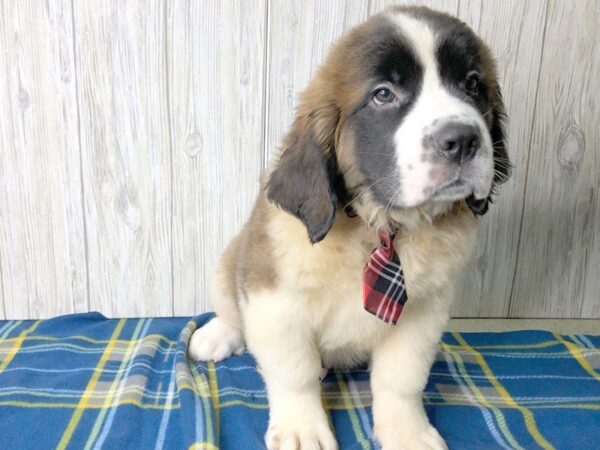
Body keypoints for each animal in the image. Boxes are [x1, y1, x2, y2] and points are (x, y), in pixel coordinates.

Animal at [190, 4, 508, 450]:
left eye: (472, 84)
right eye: (383, 95)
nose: (462, 139)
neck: (378, 231)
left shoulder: (422, 313)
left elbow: (401, 379)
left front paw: (406, 431)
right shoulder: (275, 301)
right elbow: (294, 372)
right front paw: (302, 428)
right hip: (230, 263)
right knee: (231, 311)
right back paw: (217, 335)